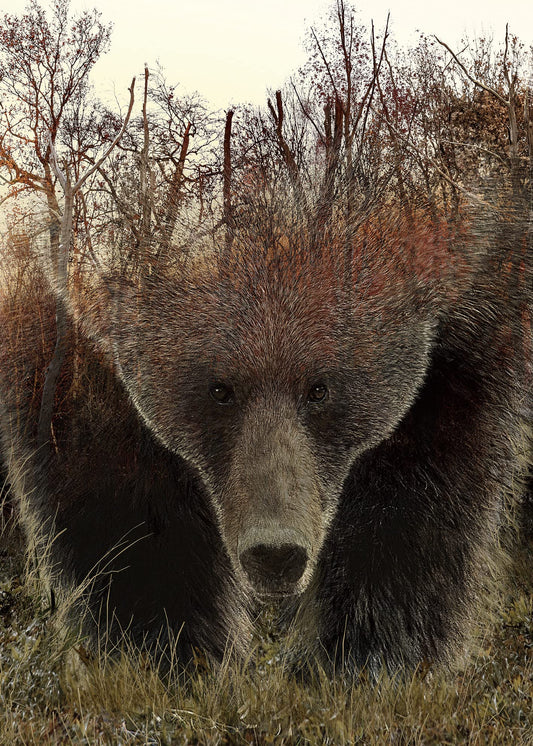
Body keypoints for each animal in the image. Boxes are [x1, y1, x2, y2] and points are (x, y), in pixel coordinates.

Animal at [0, 191, 530, 674]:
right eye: (220, 389)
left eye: (319, 389)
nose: (275, 551)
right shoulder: (60, 335)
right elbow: (118, 510)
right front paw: (169, 654)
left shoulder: (473, 314)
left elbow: (419, 501)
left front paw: (365, 659)